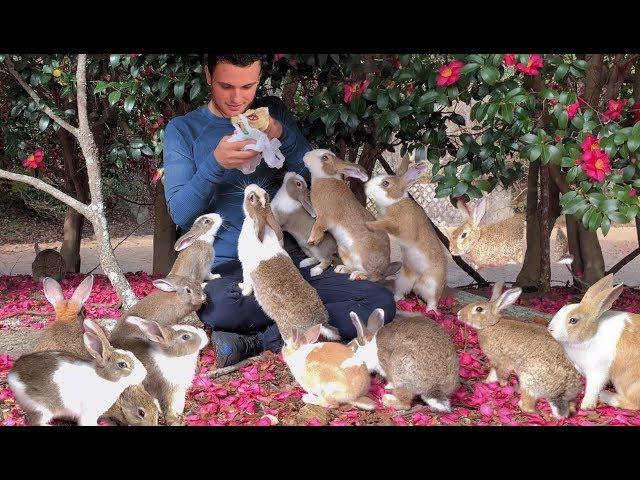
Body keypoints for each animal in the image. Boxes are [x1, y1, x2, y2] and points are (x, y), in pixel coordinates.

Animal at [7, 318, 148, 428]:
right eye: (122, 364)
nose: (144, 373)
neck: (105, 379)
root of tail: (13, 374)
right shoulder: (89, 413)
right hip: (42, 407)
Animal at [302, 148, 400, 280]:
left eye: (325, 158)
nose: (305, 155)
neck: (326, 177)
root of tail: (383, 271)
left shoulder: (325, 217)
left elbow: (318, 227)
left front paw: (312, 241)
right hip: (344, 253)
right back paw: (342, 269)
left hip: (365, 257)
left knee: (373, 276)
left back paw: (357, 275)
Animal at [362, 156, 448, 310]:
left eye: (385, 183)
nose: (365, 187)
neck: (395, 202)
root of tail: (417, 282)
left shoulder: (400, 226)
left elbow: (384, 224)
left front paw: (369, 225)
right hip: (403, 279)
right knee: (401, 293)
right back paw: (397, 300)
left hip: (433, 284)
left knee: (432, 300)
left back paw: (431, 310)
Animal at [458, 284, 584, 418]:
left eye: (479, 309)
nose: (459, 314)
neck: (491, 325)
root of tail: (563, 389)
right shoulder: (494, 363)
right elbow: (492, 374)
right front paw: (486, 382)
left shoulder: (501, 361)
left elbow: (501, 376)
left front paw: (502, 386)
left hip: (528, 381)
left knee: (529, 407)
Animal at [544, 276, 640, 410]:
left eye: (573, 320)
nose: (550, 329)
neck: (592, 335)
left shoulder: (597, 371)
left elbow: (592, 388)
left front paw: (586, 406)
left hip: (627, 381)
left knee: (633, 403)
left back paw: (605, 395)